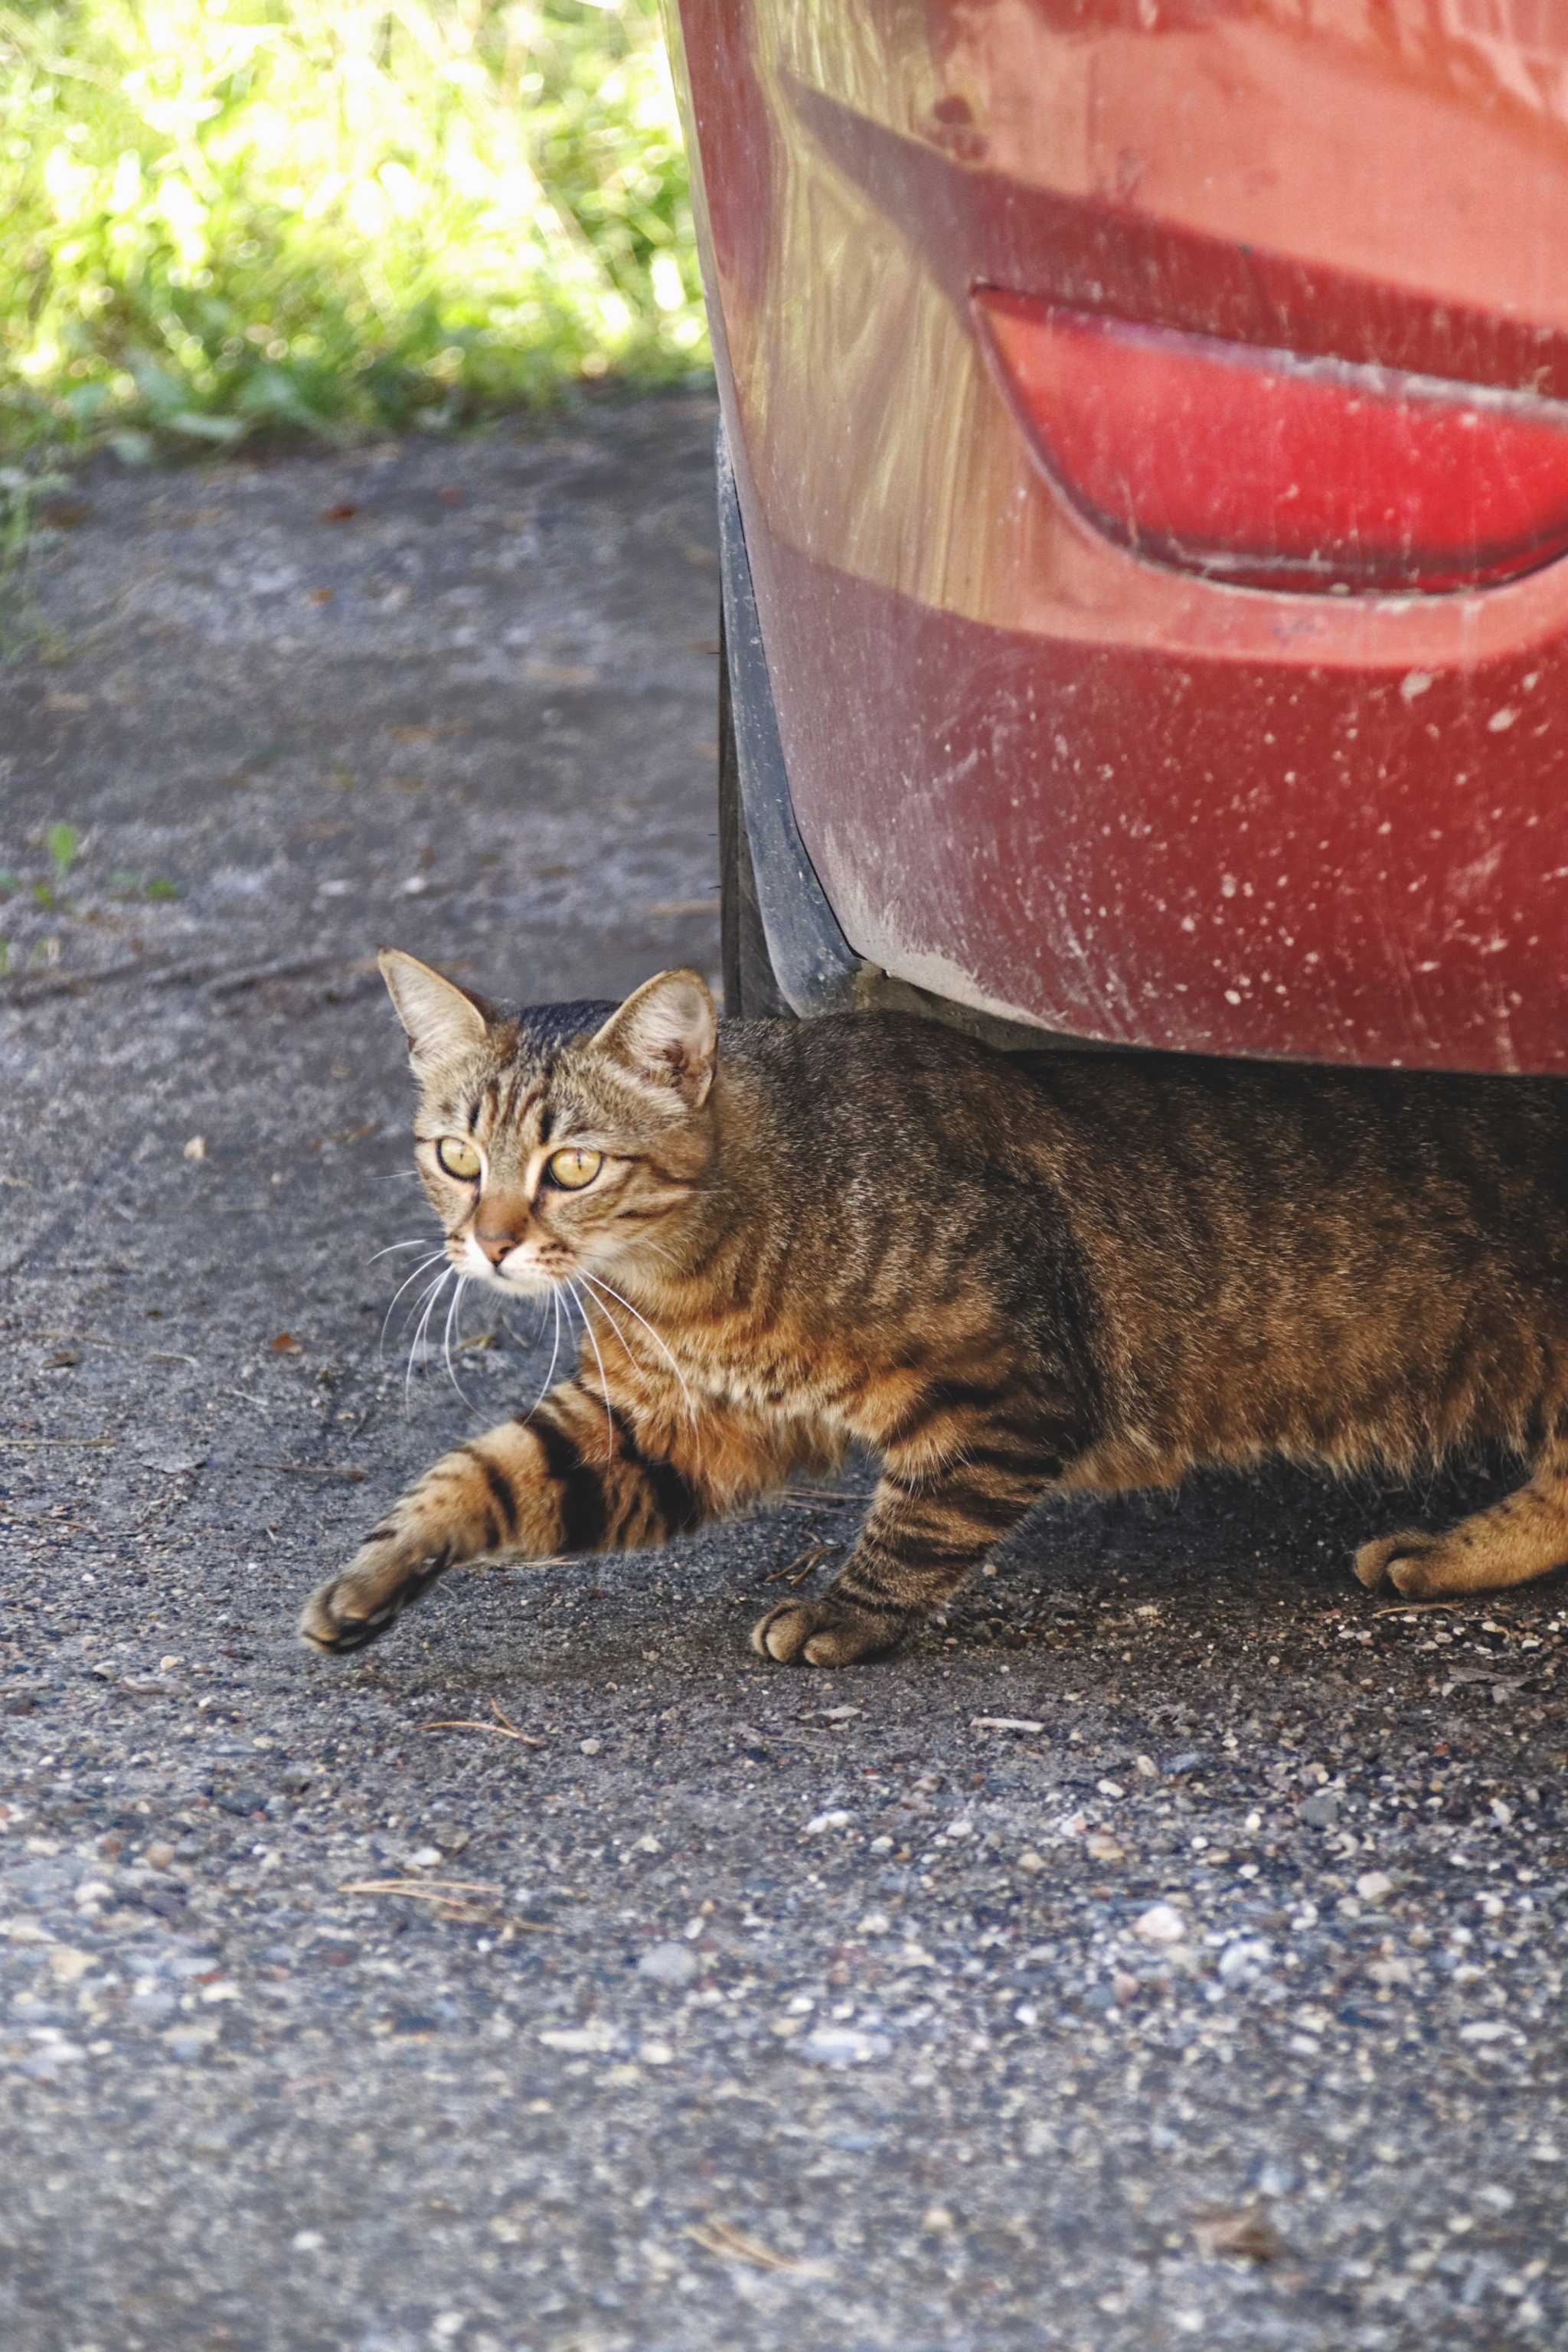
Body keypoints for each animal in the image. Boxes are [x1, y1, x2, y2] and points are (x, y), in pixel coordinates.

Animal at [297, 945, 1568, 1664]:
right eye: (458, 1157)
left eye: (571, 1168)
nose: (492, 1243)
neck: (688, 1277)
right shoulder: (663, 1423)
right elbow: (482, 1474)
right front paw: (374, 1575)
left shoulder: (1005, 1390)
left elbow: (919, 1525)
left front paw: (844, 1616)